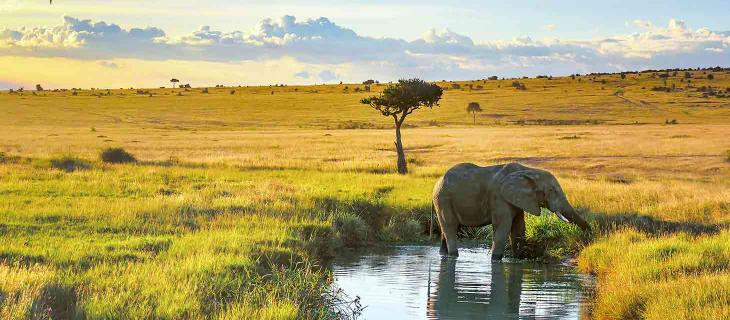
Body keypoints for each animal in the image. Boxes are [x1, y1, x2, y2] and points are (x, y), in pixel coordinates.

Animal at [430, 162, 588, 260]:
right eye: (550, 191)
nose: (588, 237)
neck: (529, 170)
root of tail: (437, 182)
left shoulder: (518, 199)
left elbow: (519, 228)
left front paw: (517, 258)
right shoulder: (499, 197)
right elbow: (503, 227)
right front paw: (495, 260)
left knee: (446, 230)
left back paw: (443, 254)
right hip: (443, 199)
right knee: (450, 227)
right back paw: (453, 256)